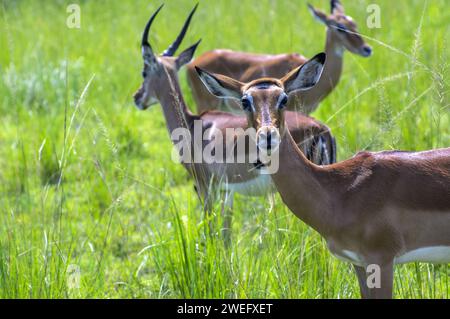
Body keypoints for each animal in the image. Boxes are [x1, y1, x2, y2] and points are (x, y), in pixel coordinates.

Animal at [132, 5, 336, 242]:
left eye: (144, 71)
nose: (137, 97)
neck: (192, 126)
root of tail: (322, 130)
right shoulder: (227, 191)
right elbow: (226, 234)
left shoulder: (205, 187)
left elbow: (212, 231)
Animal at [199, 63, 450, 300]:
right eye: (245, 101)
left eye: (284, 98)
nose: (267, 135)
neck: (340, 191)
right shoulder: (358, 262)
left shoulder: (381, 260)